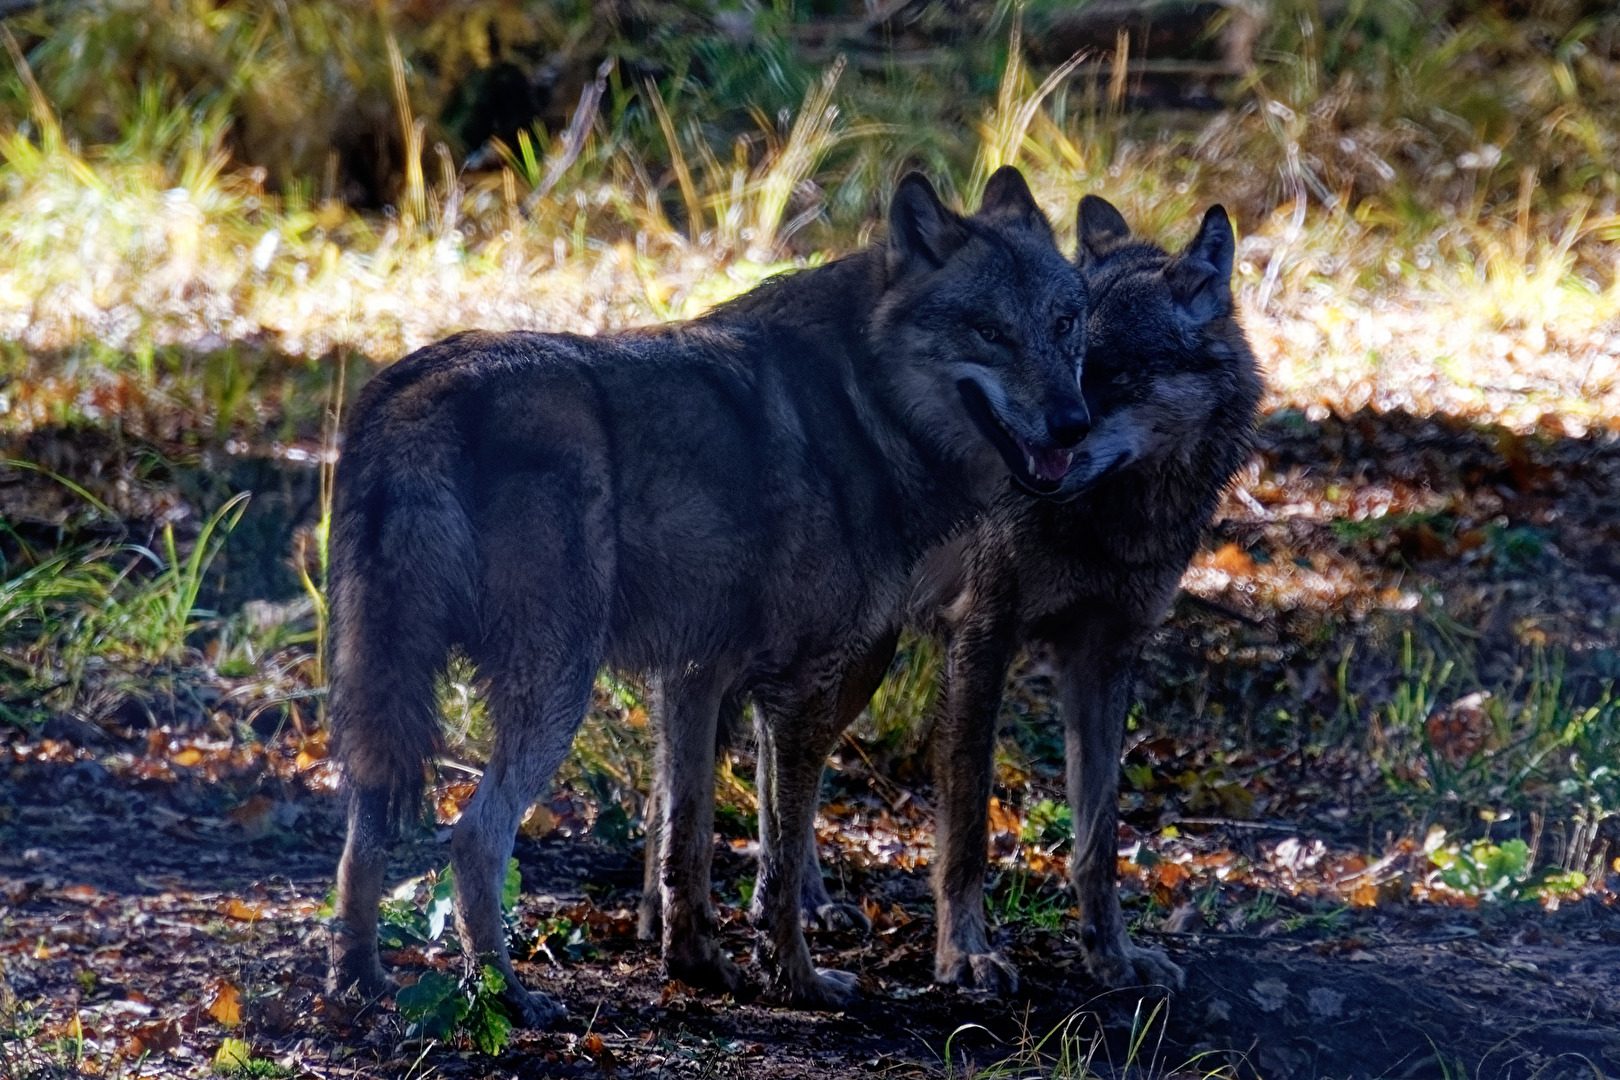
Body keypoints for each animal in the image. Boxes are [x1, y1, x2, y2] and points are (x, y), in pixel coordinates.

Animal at [325, 166, 1092, 1023]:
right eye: (989, 331)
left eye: (1065, 323)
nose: (1074, 423)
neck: (862, 400)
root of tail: (415, 390)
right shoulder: (797, 689)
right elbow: (780, 855)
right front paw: (797, 979)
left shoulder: (697, 677)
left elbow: (684, 835)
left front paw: (696, 962)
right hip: (556, 691)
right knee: (472, 838)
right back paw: (508, 996)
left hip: (388, 696)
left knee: (362, 837)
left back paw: (357, 983)